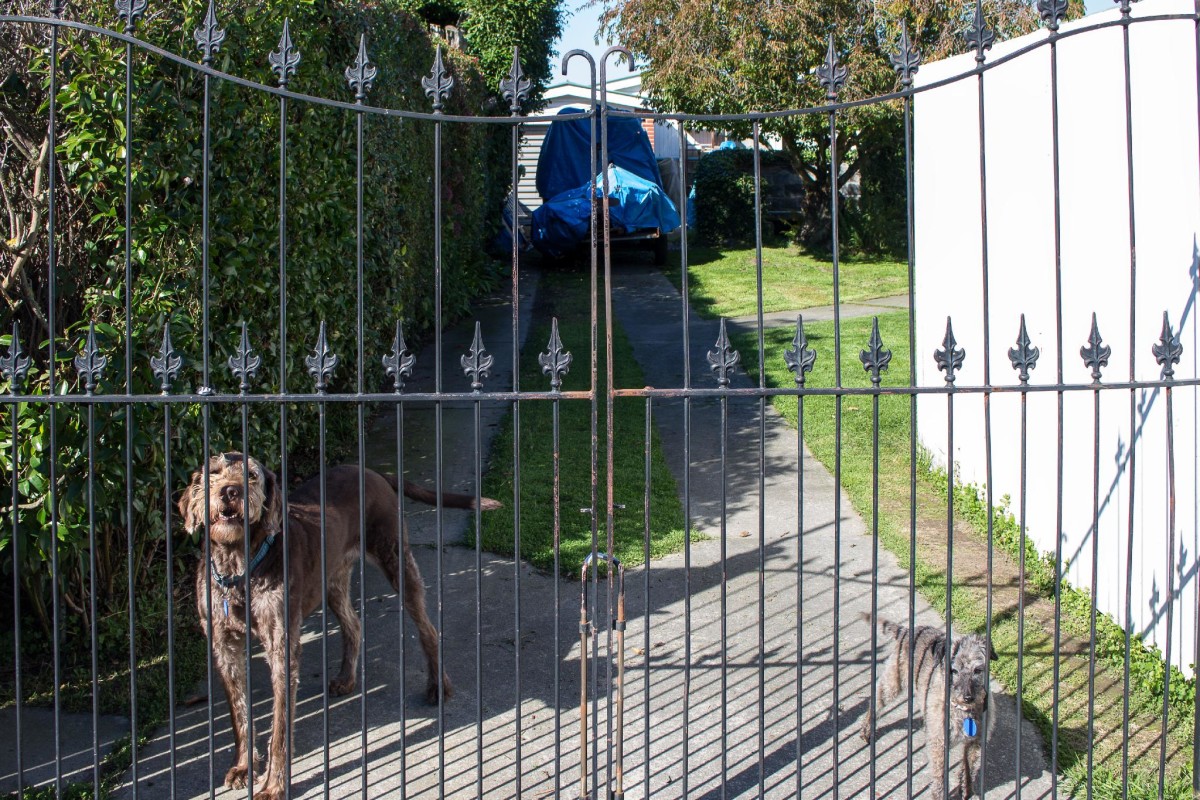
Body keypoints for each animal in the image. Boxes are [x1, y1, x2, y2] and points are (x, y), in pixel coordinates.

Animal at [177, 453, 496, 796]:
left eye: (251, 475)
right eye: (213, 473)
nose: (230, 491)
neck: (239, 567)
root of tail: (372, 472)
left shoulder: (281, 648)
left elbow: (280, 729)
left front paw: (274, 786)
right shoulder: (225, 648)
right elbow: (239, 715)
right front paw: (244, 768)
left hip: (396, 559)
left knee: (428, 629)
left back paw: (437, 686)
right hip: (333, 582)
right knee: (353, 624)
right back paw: (346, 678)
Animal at [859, 618, 998, 796]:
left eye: (978, 670)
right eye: (954, 670)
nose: (968, 697)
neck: (962, 712)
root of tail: (907, 631)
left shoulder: (975, 743)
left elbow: (969, 770)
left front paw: (966, 791)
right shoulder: (939, 745)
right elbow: (940, 776)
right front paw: (939, 794)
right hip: (893, 683)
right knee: (876, 701)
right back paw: (866, 729)